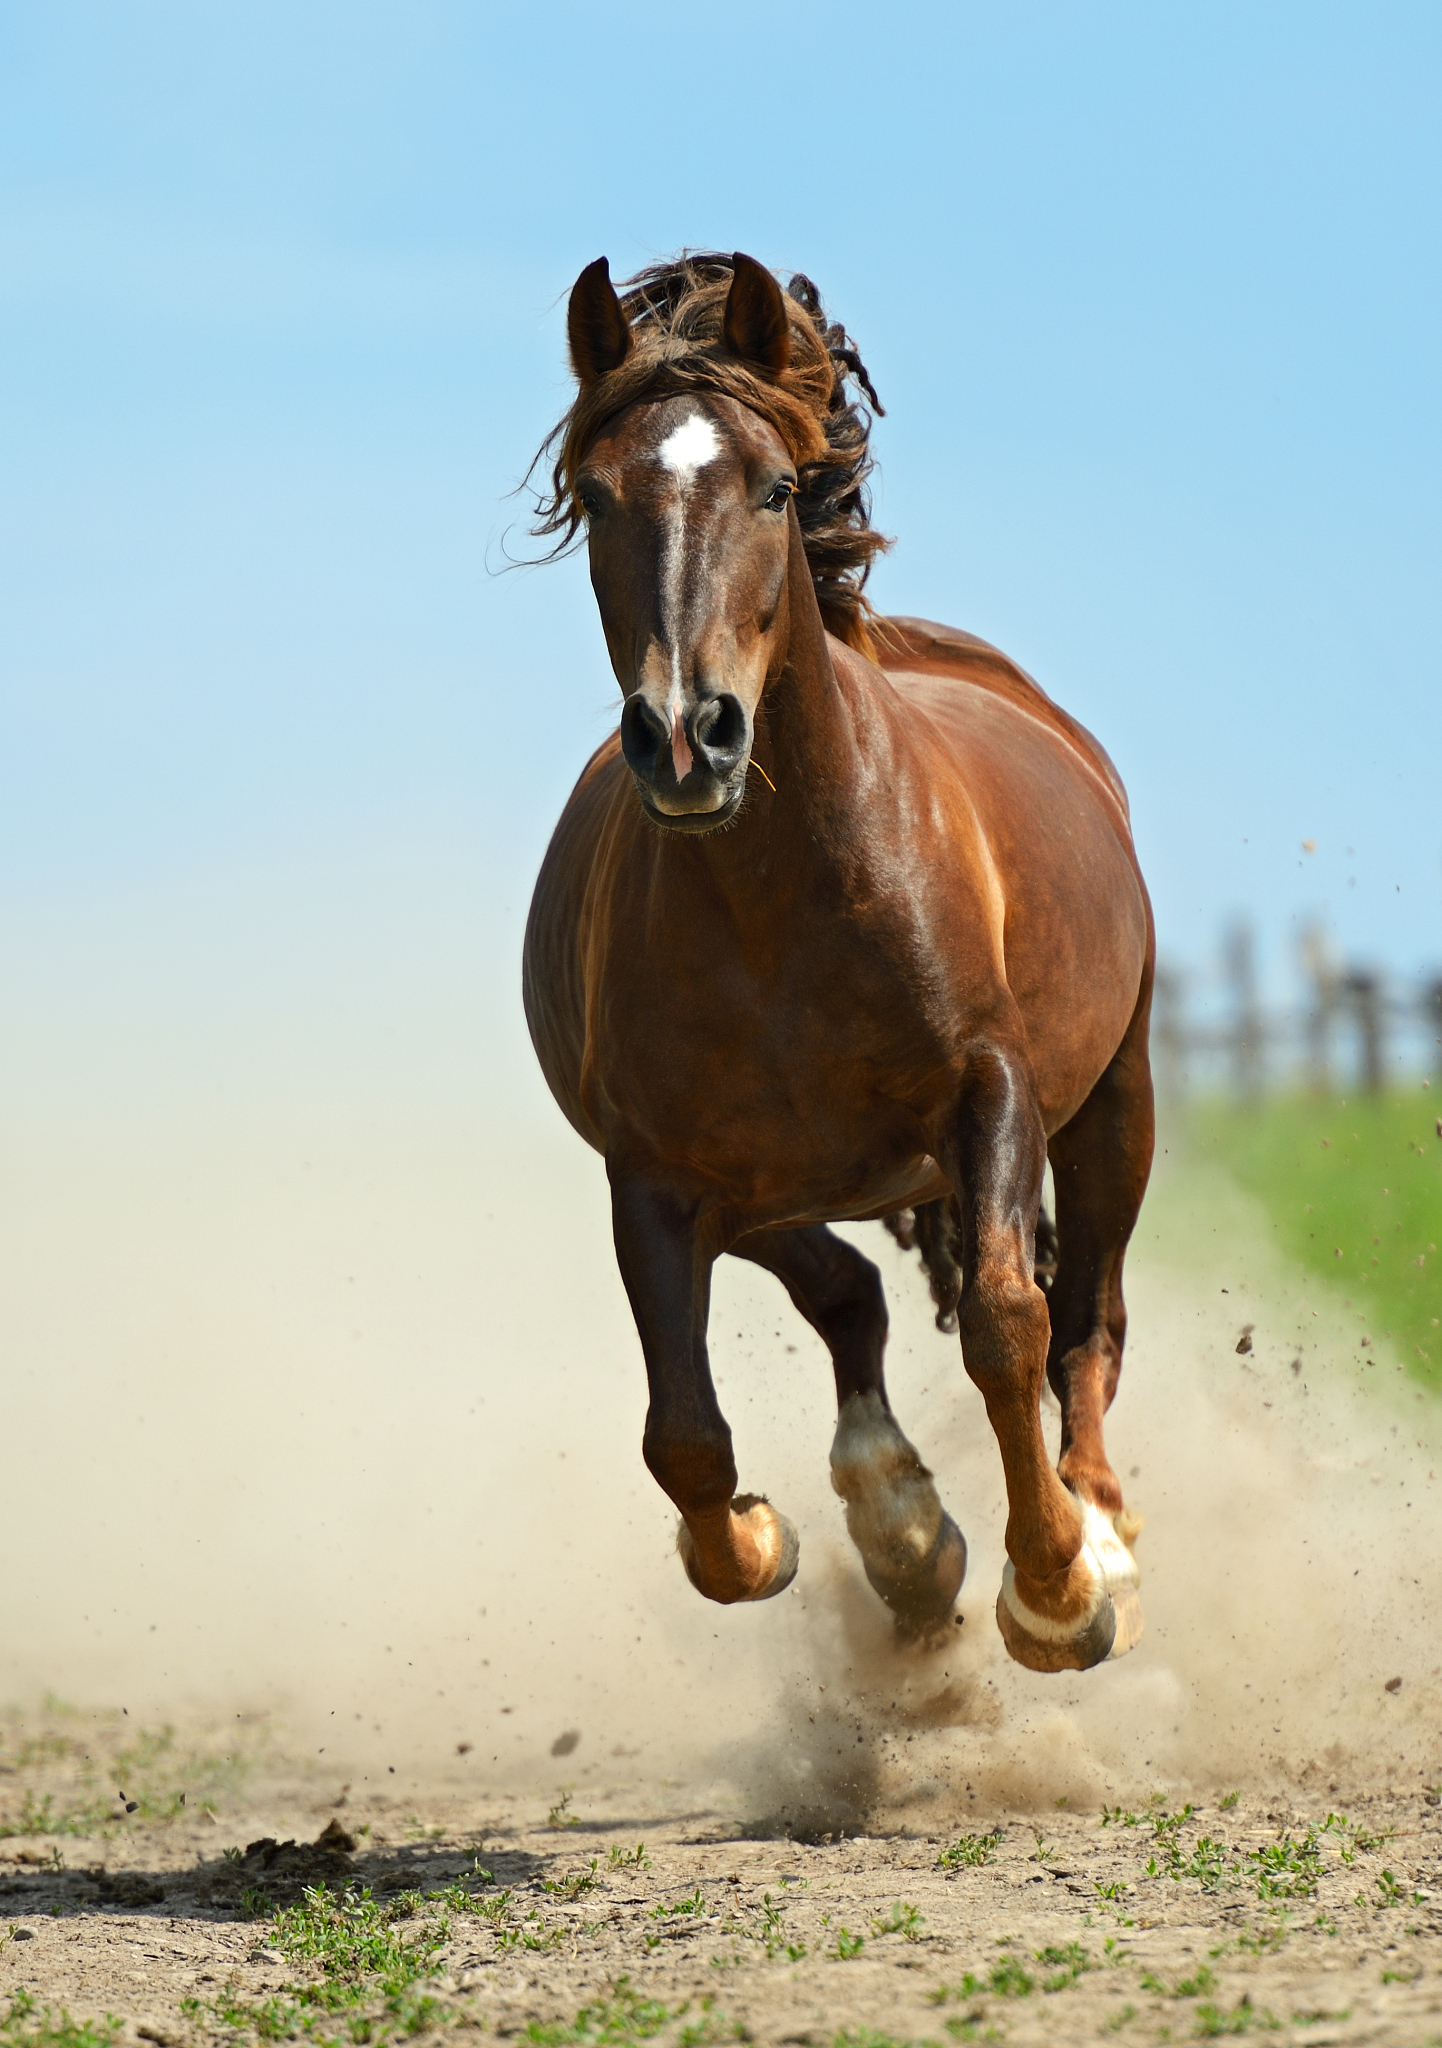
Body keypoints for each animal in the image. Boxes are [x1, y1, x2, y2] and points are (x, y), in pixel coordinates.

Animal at [522, 252, 1153, 1672]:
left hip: (1111, 1099)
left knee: (1086, 1318)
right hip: (774, 1189)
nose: (686, 737)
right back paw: (901, 1531)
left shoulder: (991, 1090)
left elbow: (1008, 1321)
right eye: (599, 498)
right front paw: (782, 1540)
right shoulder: (655, 1178)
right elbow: (683, 1433)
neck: (783, 907)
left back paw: (1097, 1528)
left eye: (767, 485)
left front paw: (1056, 1589)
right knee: (850, 1292)